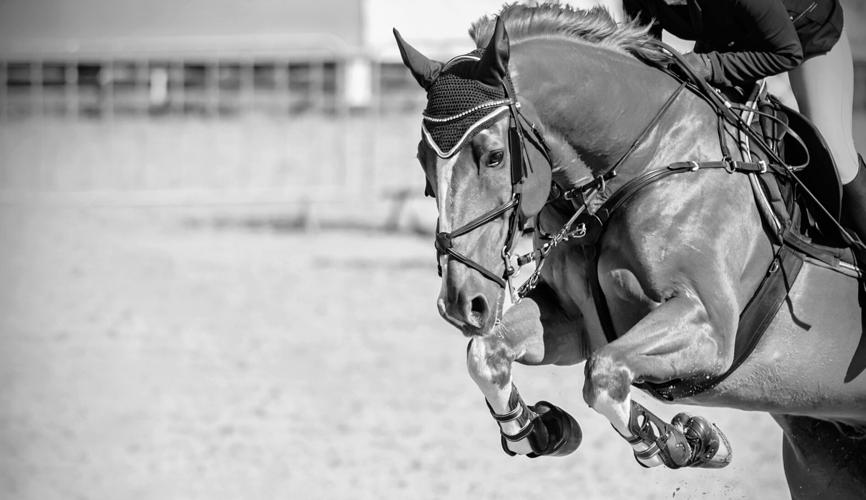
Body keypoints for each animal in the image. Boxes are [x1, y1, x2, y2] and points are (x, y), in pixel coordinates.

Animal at [394, 4, 866, 498]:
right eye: (423, 162)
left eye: (494, 157)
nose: (461, 303)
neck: (646, 157)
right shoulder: (573, 319)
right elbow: (486, 354)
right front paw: (539, 430)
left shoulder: (709, 327)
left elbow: (603, 376)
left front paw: (685, 441)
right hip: (818, 455)